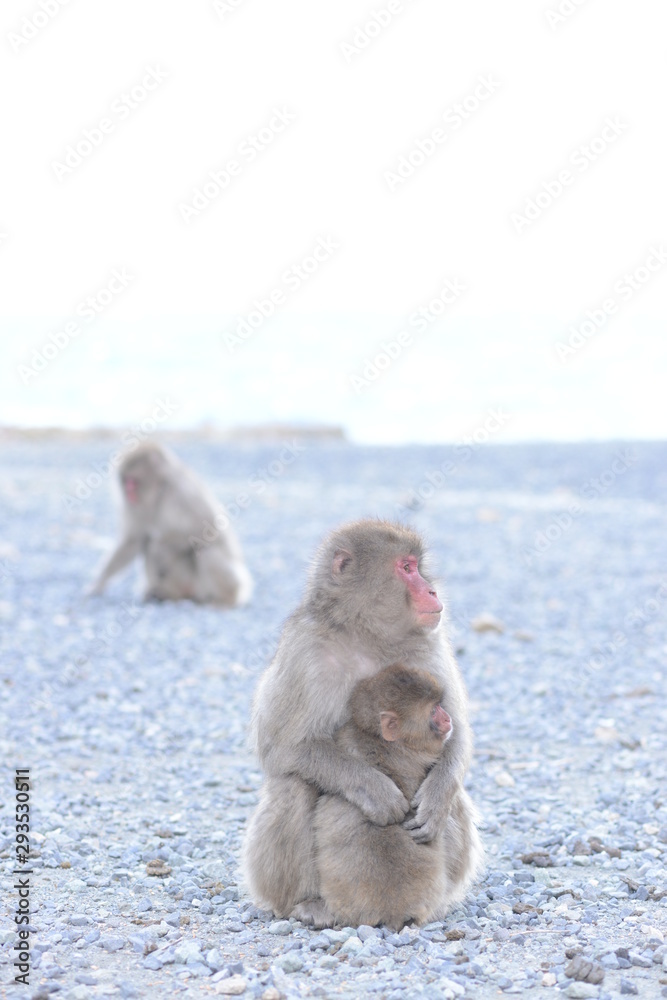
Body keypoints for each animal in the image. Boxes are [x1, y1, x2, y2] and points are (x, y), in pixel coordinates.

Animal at [88, 442, 252, 606]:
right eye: (125, 480)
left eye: (133, 481)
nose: (127, 493)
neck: (160, 491)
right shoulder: (135, 506)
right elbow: (133, 540)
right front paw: (99, 583)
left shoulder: (185, 492)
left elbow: (209, 531)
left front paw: (162, 544)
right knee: (148, 544)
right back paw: (162, 594)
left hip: (217, 582)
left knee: (206, 550)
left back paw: (222, 599)